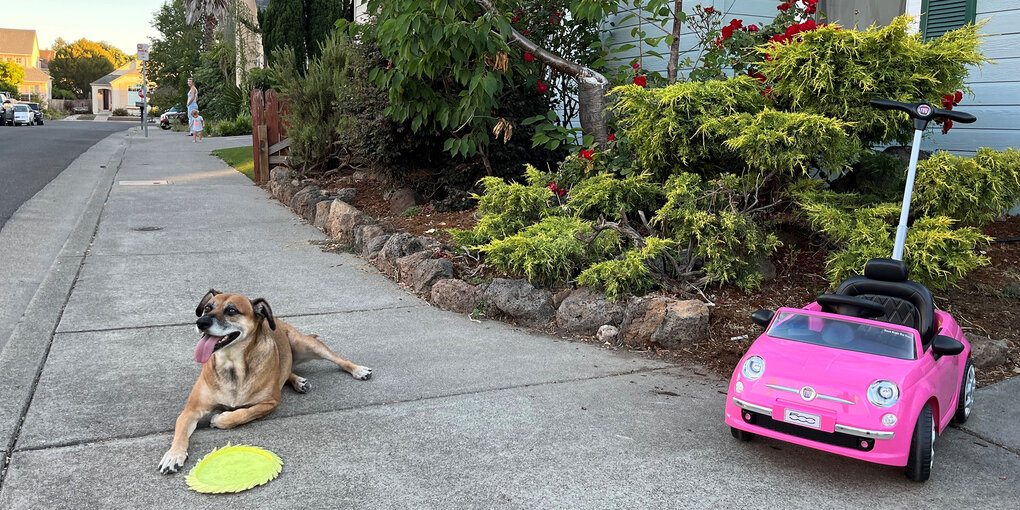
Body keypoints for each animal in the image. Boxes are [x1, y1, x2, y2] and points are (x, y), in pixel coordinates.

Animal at [156, 289, 371, 471]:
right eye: (208, 307)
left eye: (232, 310)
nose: (201, 322)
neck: (233, 366)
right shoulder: (191, 410)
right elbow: (180, 432)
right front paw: (173, 455)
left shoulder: (270, 402)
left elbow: (243, 413)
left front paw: (221, 419)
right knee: (286, 370)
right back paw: (298, 381)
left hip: (307, 344)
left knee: (338, 360)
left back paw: (358, 369)